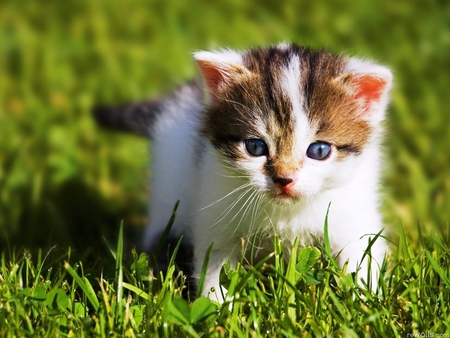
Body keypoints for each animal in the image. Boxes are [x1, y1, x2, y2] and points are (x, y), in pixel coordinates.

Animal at [94, 43, 390, 300]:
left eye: (319, 151)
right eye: (255, 146)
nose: (284, 179)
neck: (286, 213)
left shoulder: (353, 211)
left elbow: (360, 254)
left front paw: (366, 299)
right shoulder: (215, 210)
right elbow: (214, 262)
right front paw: (216, 307)